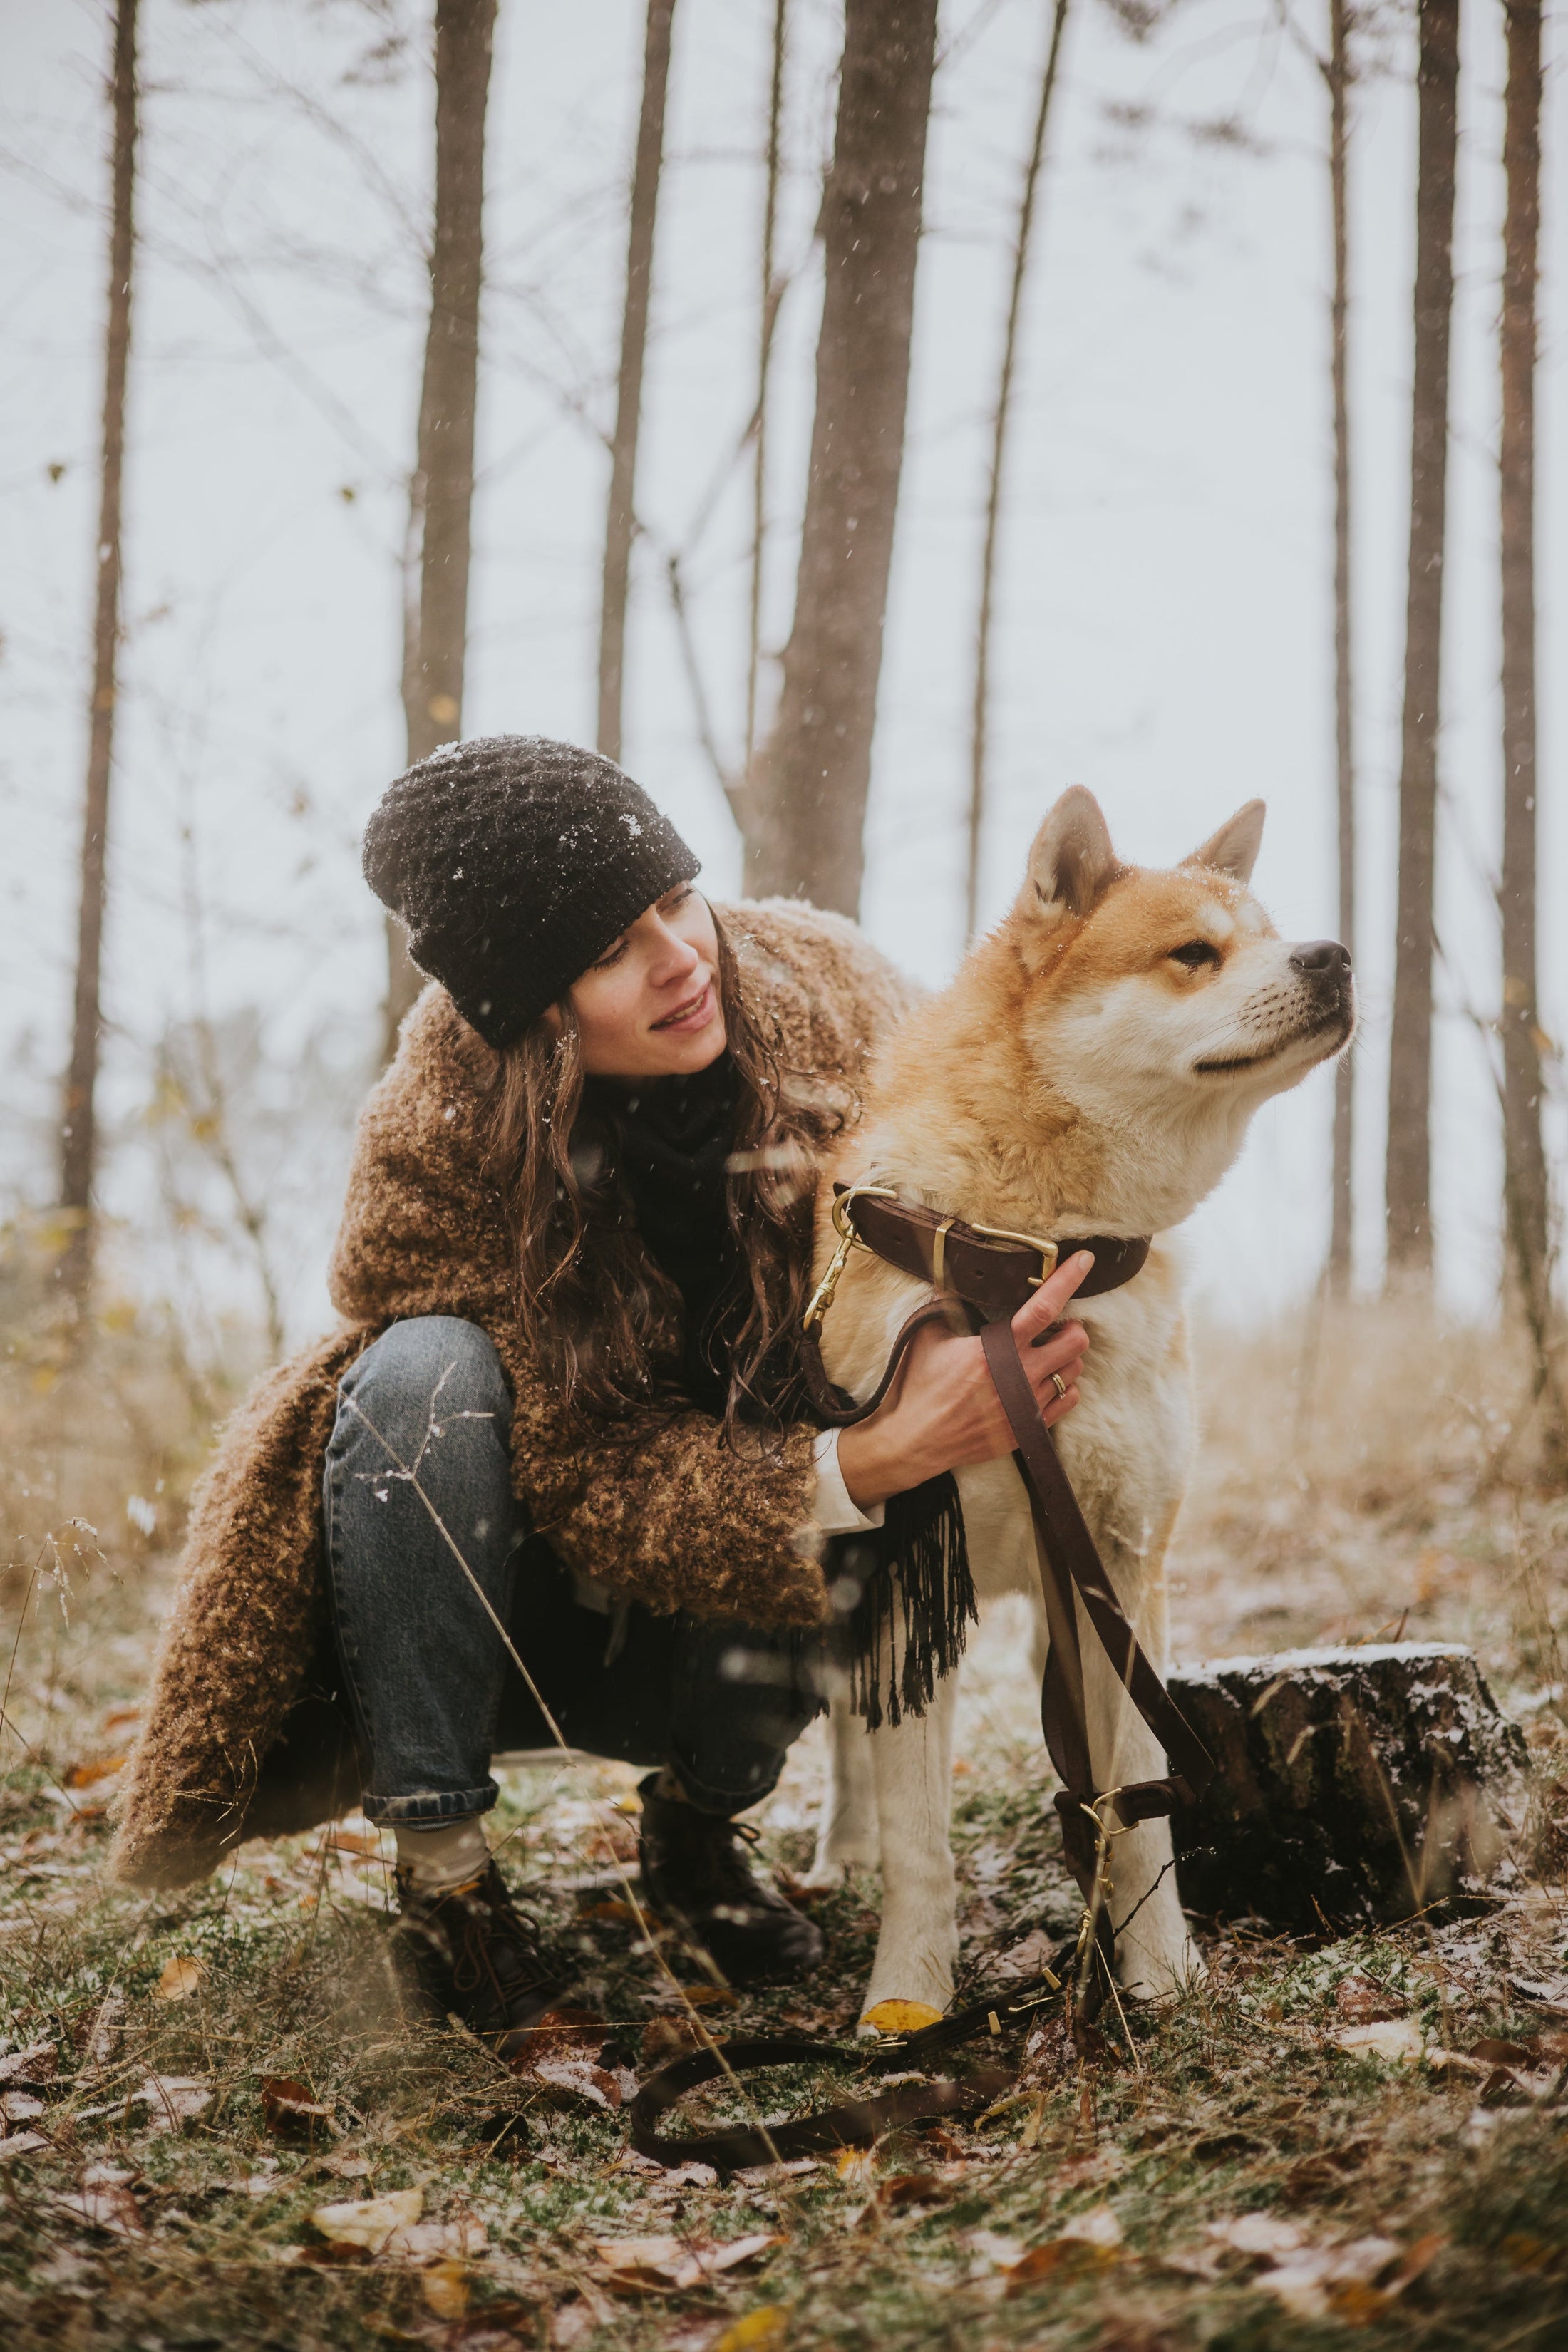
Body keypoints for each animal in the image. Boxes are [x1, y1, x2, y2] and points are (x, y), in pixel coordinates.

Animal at [804, 790, 1353, 2023]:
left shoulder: (1118, 1562)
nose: (1336, 956)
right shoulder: (917, 1571)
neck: (1031, 1259)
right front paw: (908, 1999)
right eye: (1194, 954)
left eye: (1271, 932)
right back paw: (842, 1854)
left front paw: (1154, 1972)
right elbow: (920, 1840)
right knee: (854, 1736)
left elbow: (1135, 1799)